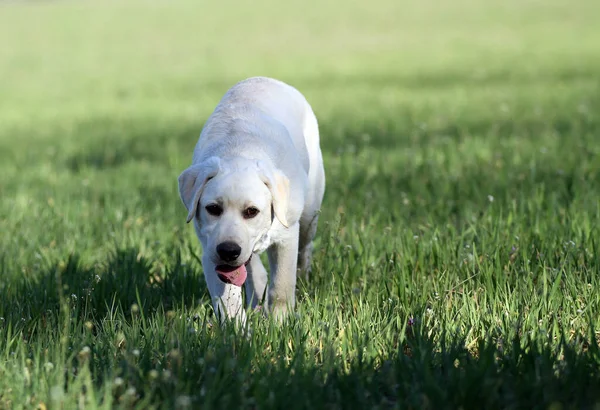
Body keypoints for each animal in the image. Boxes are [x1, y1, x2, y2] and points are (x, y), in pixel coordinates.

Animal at [178, 77, 326, 324]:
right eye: (213, 208)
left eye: (252, 211)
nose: (229, 251)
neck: (239, 150)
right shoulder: (210, 251)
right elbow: (228, 301)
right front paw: (236, 330)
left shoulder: (287, 236)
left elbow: (282, 285)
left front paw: (280, 324)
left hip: (309, 214)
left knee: (304, 249)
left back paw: (303, 278)